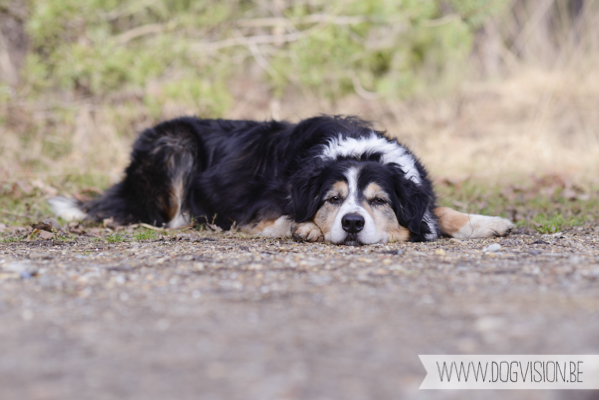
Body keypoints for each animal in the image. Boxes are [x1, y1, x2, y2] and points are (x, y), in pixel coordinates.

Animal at [49, 115, 512, 244]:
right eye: (332, 200)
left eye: (379, 201)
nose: (352, 223)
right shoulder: (260, 211)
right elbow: (281, 219)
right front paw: (303, 227)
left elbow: (438, 210)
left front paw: (484, 222)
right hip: (175, 142)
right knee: (171, 215)